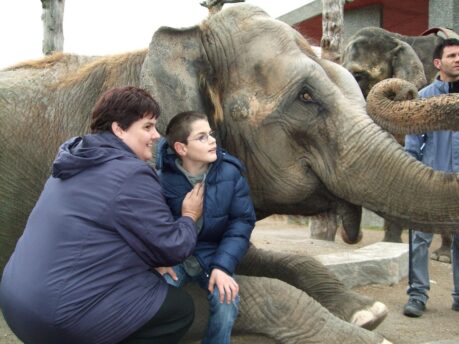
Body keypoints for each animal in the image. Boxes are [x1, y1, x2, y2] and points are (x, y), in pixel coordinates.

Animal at [2, 4, 459, 342]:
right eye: (305, 97)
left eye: (356, 82)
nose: (401, 88)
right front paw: (368, 335)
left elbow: (257, 255)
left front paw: (367, 311)